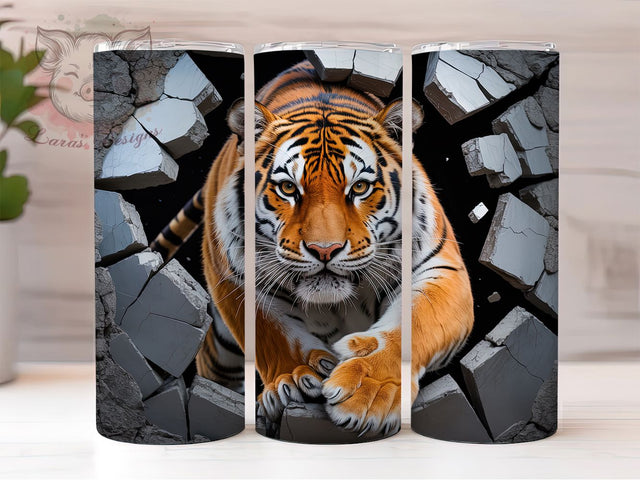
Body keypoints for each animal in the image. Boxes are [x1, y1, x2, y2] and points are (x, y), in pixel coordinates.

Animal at [151, 60, 474, 436]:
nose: (324, 250)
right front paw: (297, 378)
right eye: (289, 188)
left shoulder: (440, 268)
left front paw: (369, 389)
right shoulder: (232, 275)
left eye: (359, 187)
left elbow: (415, 324)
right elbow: (272, 332)